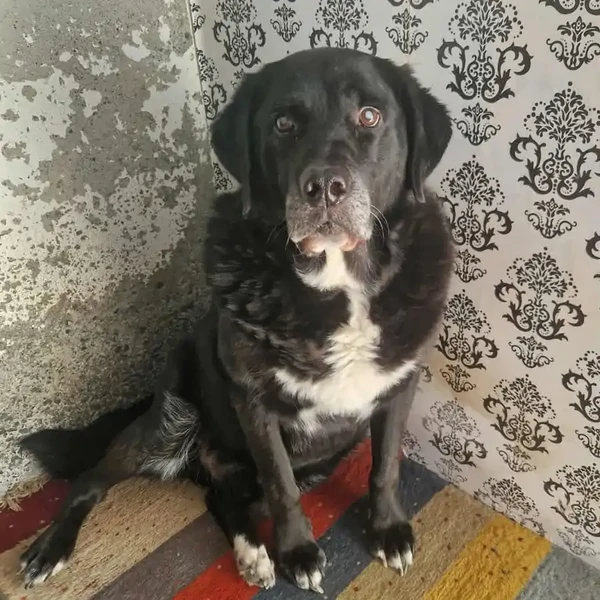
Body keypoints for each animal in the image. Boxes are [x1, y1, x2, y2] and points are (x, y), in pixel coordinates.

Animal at [19, 47, 454, 593]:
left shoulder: (399, 383)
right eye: (283, 123)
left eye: (370, 116)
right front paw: (297, 553)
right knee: (91, 478)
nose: (324, 188)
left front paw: (388, 529)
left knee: (220, 496)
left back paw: (251, 553)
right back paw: (51, 548)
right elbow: (281, 485)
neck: (339, 282)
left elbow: (386, 465)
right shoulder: (255, 402)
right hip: (168, 426)